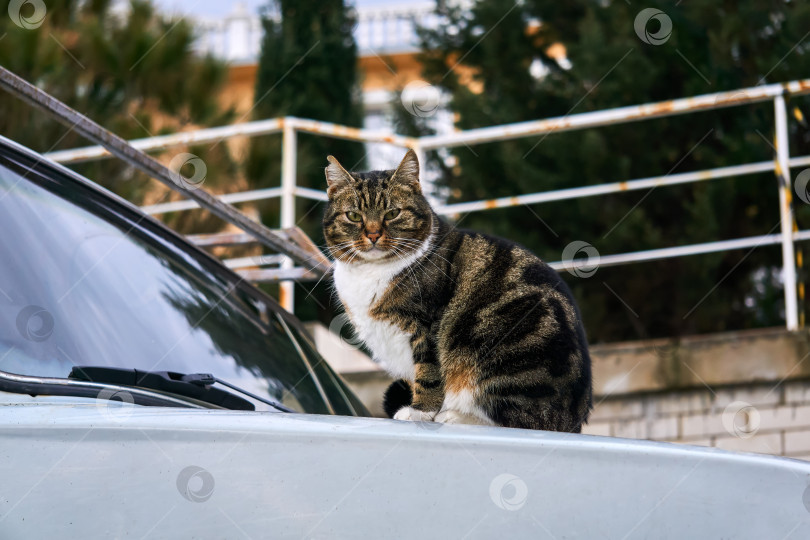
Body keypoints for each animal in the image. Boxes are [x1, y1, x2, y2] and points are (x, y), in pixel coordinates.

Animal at [322, 149, 592, 430]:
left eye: (392, 213)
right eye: (354, 216)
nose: (373, 234)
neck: (371, 271)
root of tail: (572, 420)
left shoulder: (427, 326)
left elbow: (429, 372)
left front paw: (420, 411)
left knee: (520, 421)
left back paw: (456, 416)